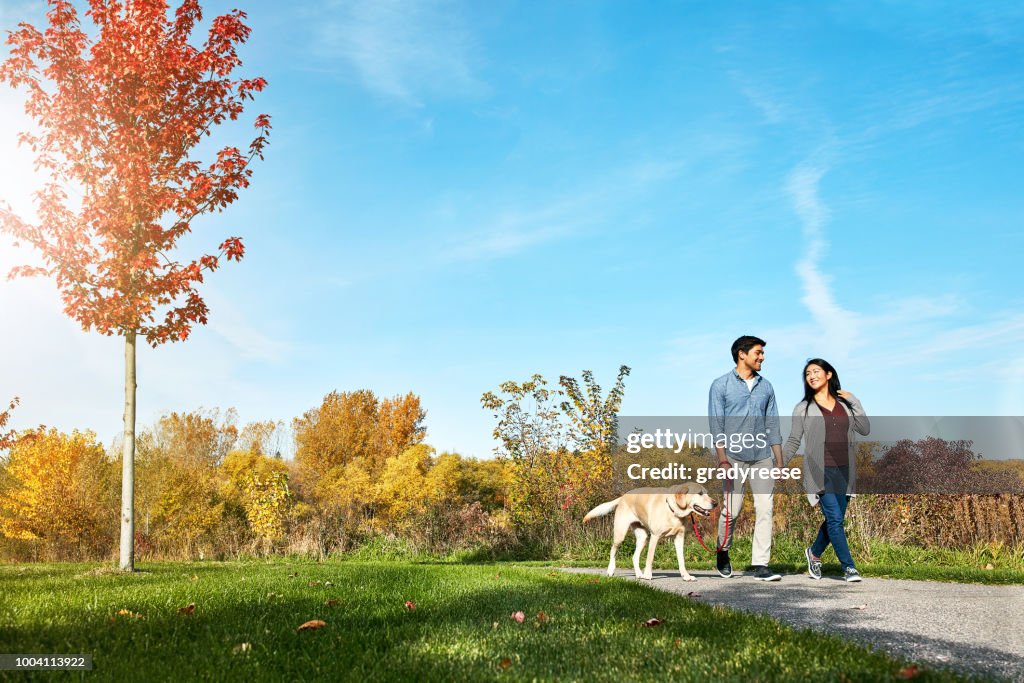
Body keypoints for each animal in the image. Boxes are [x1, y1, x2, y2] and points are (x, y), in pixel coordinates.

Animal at [581, 481, 716, 581]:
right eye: (700, 493)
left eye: (707, 493)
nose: (715, 503)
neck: (673, 511)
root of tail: (623, 497)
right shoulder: (655, 536)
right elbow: (650, 558)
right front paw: (648, 575)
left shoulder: (679, 538)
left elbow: (681, 560)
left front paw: (686, 576)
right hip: (620, 534)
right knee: (613, 550)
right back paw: (611, 570)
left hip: (643, 537)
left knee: (634, 557)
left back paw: (639, 574)